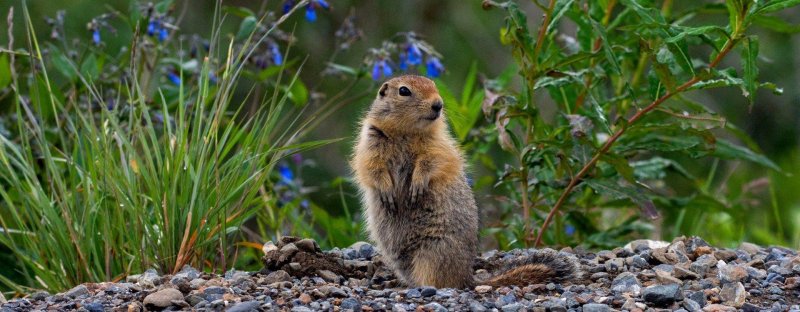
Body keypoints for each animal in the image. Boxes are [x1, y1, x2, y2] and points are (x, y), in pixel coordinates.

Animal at [348, 75, 576, 288]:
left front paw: (417, 185)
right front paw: (386, 191)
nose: (438, 104)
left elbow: (432, 162)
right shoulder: (369, 141)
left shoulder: (439, 145)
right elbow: (370, 168)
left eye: (434, 85)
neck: (406, 132)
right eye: (404, 91)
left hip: (434, 252)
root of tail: (467, 278)